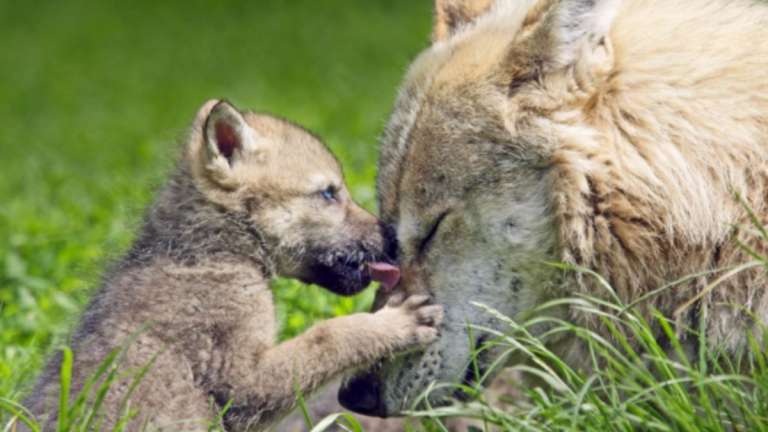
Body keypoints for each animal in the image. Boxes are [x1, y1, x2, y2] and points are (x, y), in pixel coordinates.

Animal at [25, 100, 443, 431]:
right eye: (328, 193)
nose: (391, 238)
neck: (211, 251)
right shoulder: (242, 381)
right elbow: (330, 336)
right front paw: (394, 323)